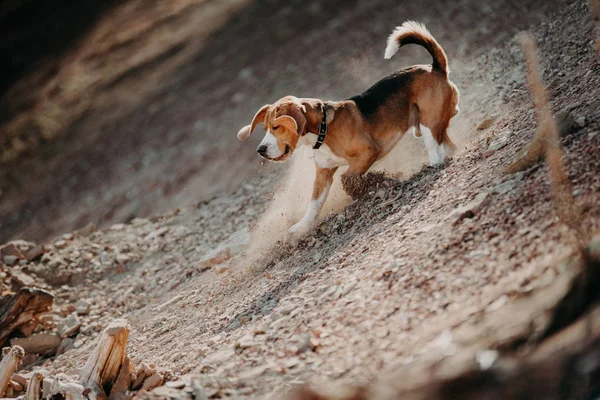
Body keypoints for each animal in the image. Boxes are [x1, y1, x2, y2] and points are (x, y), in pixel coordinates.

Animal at [237, 21, 458, 238]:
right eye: (265, 128)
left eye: (276, 127)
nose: (260, 150)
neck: (323, 130)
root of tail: (434, 68)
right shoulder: (323, 173)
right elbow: (313, 205)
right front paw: (301, 227)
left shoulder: (368, 151)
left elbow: (348, 177)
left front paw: (368, 185)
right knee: (447, 146)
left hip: (429, 123)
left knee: (435, 150)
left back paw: (431, 166)